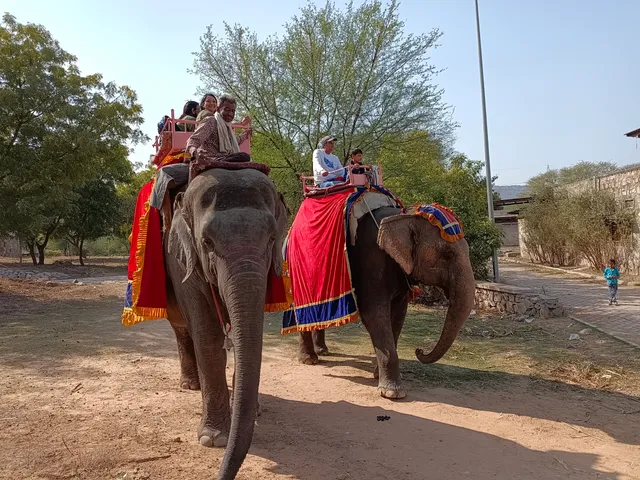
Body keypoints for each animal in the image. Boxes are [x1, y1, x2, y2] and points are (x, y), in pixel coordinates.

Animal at [162, 167, 289, 480]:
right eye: (207, 243)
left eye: (272, 238)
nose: (221, 474)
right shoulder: (183, 262)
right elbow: (207, 337)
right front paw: (213, 439)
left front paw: (254, 410)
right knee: (183, 329)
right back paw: (190, 386)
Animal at [298, 205, 476, 399]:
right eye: (448, 254)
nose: (419, 350)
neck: (404, 216)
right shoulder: (370, 260)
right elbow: (374, 312)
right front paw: (392, 393)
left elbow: (398, 314)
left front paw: (378, 375)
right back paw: (309, 359)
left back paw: (322, 351)